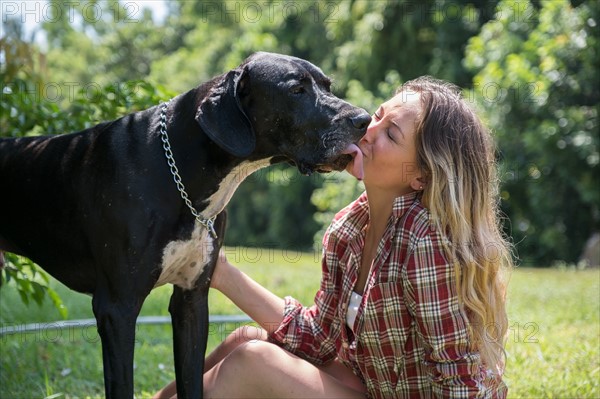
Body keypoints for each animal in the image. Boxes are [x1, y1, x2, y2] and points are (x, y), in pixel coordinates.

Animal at [0, 51, 370, 398]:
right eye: (297, 90)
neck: (176, 166)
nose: (363, 119)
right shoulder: (117, 308)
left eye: (328, 86)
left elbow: (191, 382)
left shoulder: (192, 300)